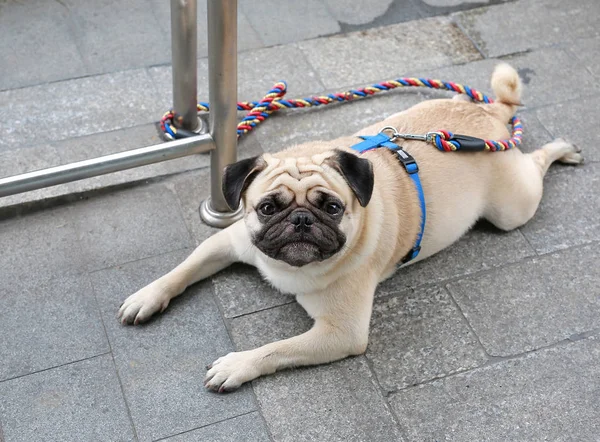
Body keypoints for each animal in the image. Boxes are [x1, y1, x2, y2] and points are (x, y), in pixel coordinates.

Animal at [116, 64, 580, 392]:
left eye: (332, 208)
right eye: (267, 208)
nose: (301, 219)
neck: (289, 270)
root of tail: (486, 113)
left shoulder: (340, 333)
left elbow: (276, 350)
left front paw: (237, 364)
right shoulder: (227, 242)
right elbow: (182, 269)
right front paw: (147, 296)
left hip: (512, 208)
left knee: (535, 163)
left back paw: (562, 148)